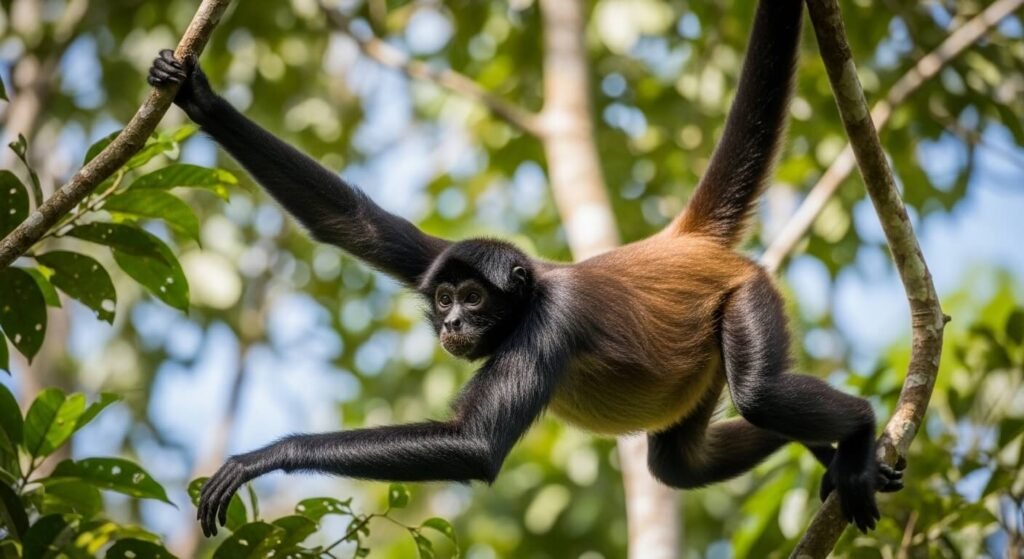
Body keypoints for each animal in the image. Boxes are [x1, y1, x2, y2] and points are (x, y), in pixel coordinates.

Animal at [148, 0, 904, 538]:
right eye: (445, 297)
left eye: (475, 300)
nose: (452, 323)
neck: (533, 285)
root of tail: (684, 242)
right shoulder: (435, 256)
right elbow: (347, 221)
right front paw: (197, 96)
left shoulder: (549, 322)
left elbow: (473, 446)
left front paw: (266, 456)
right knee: (680, 463)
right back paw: (830, 451)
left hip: (747, 294)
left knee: (758, 395)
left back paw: (861, 428)